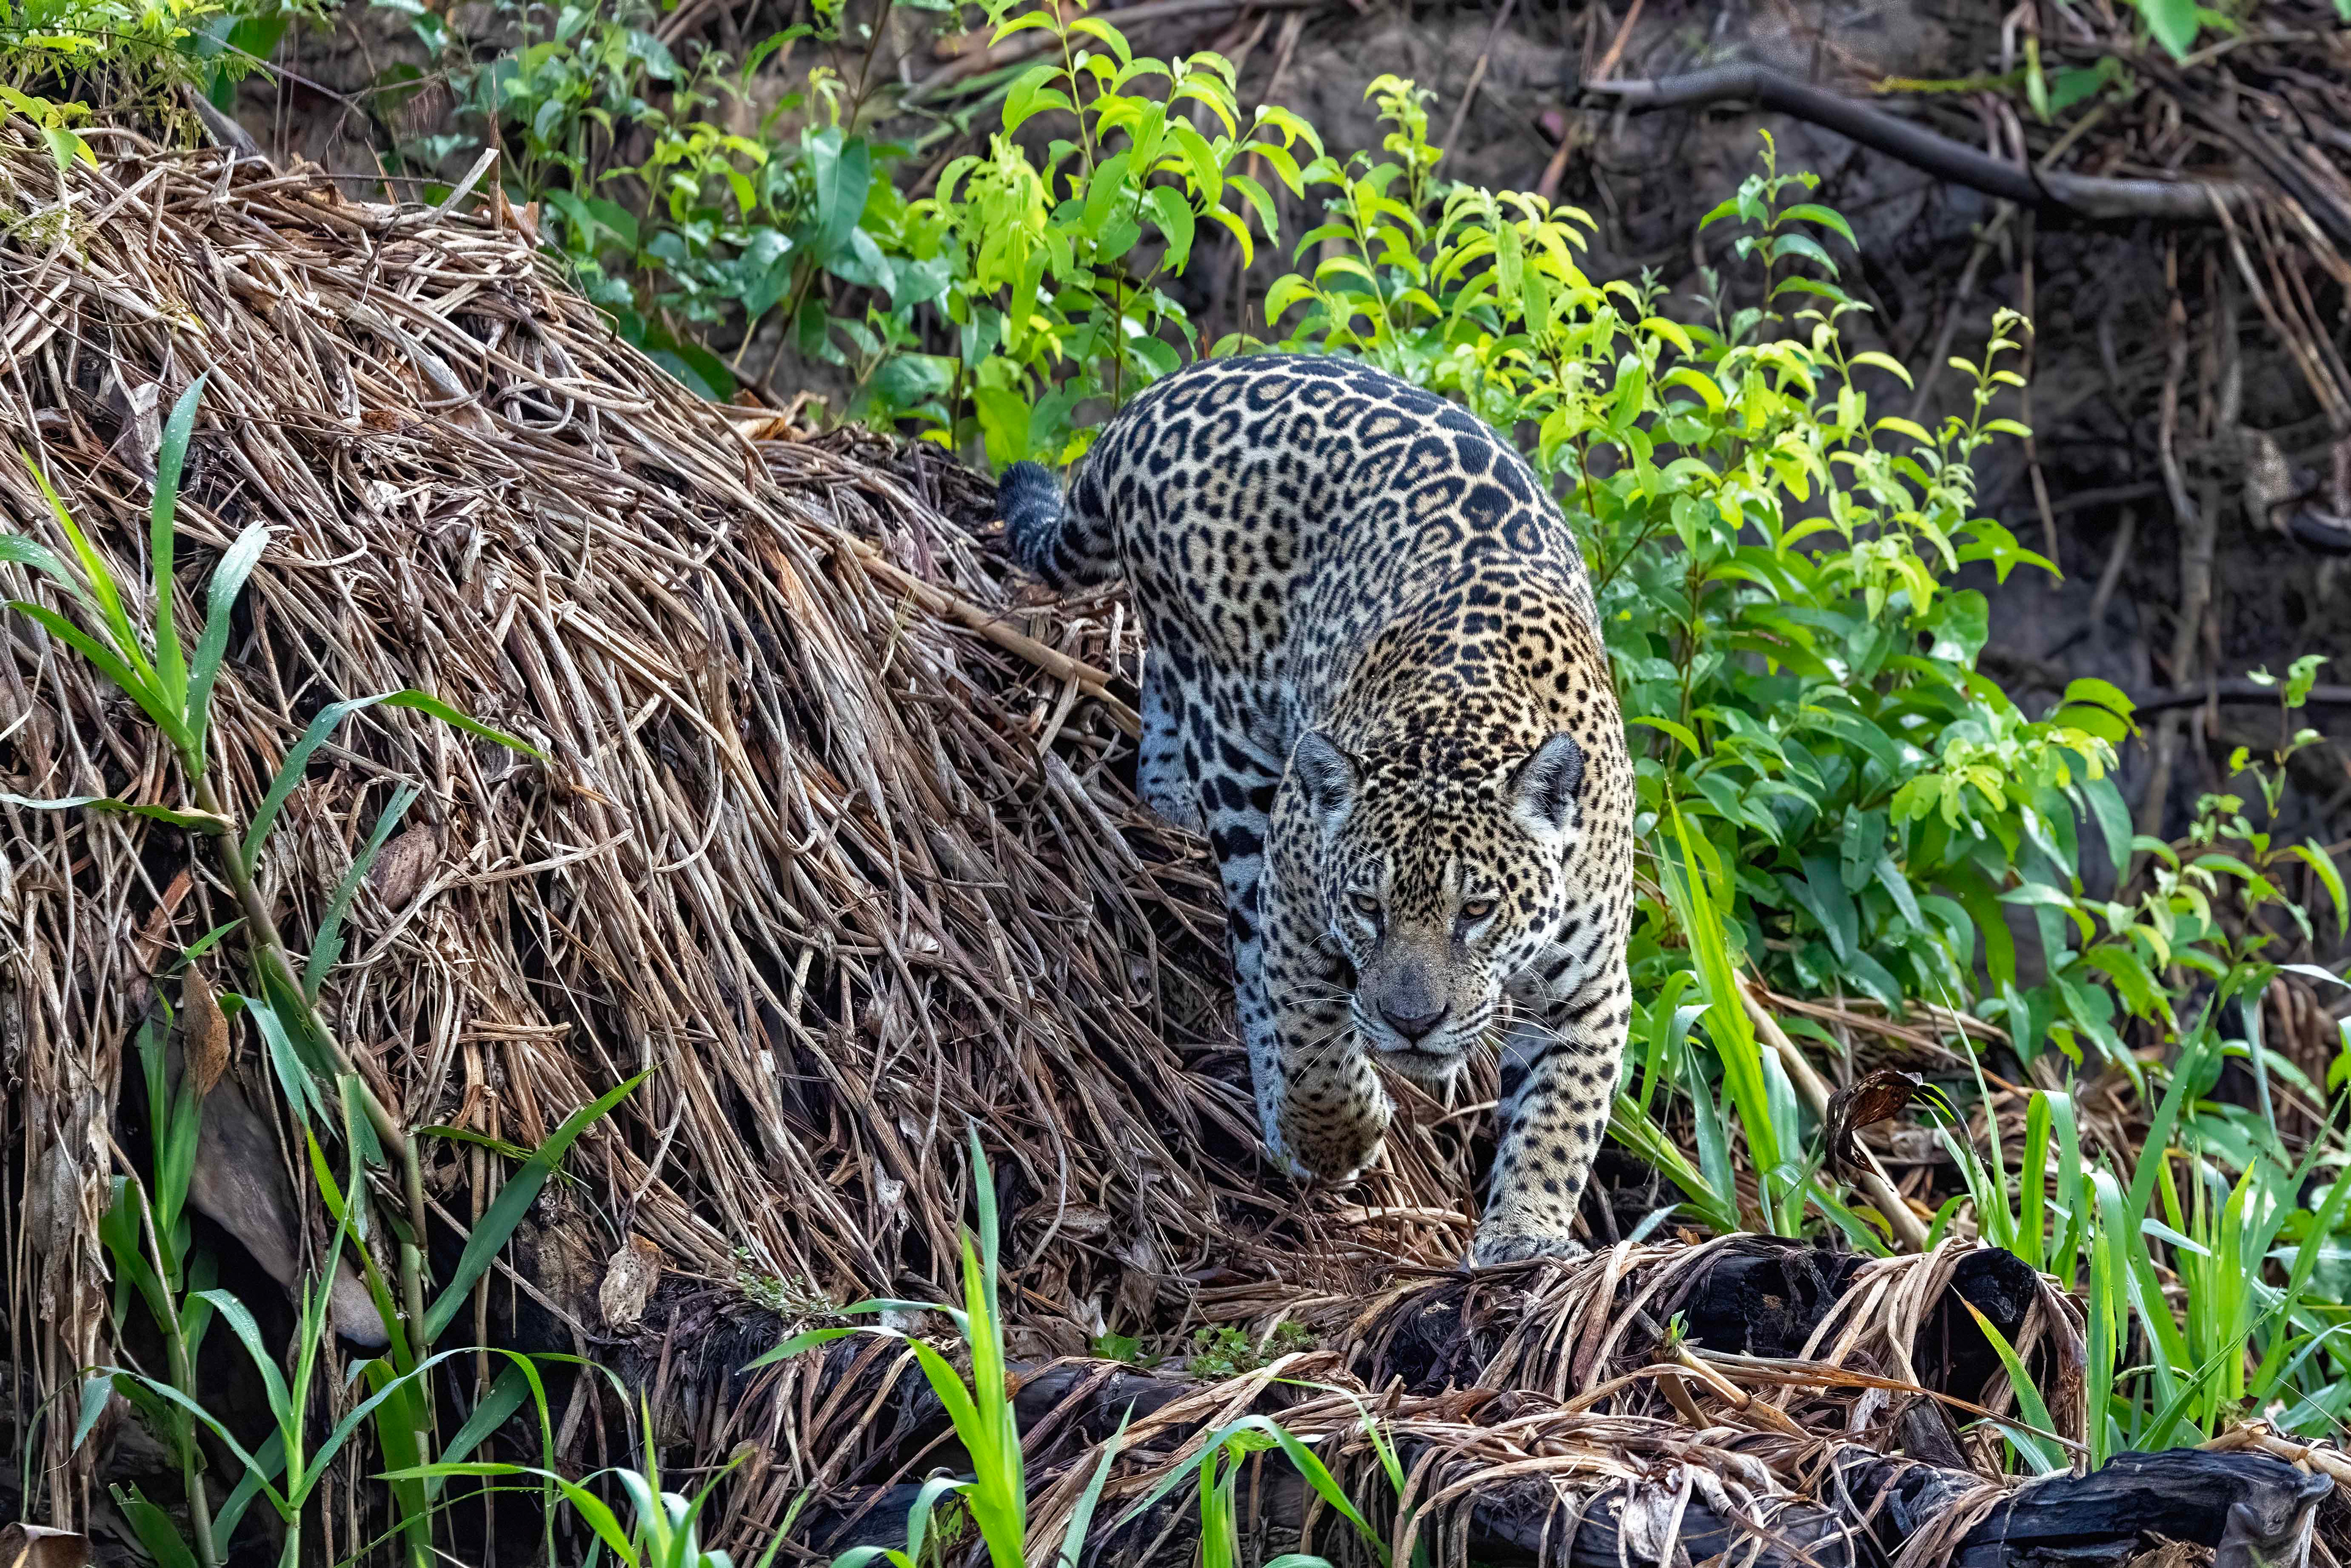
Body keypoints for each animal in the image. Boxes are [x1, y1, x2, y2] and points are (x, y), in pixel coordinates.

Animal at [999, 353, 1634, 1266]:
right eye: (1368, 905)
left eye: (1476, 911)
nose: (1413, 1024)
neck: (1461, 721)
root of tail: (1156, 399)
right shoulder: (1300, 891)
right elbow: (1310, 1028)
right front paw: (1337, 1136)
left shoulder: (1591, 986)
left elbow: (1562, 1114)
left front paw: (1525, 1232)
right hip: (1237, 736)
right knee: (1247, 939)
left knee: (1157, 692)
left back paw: (1166, 802)